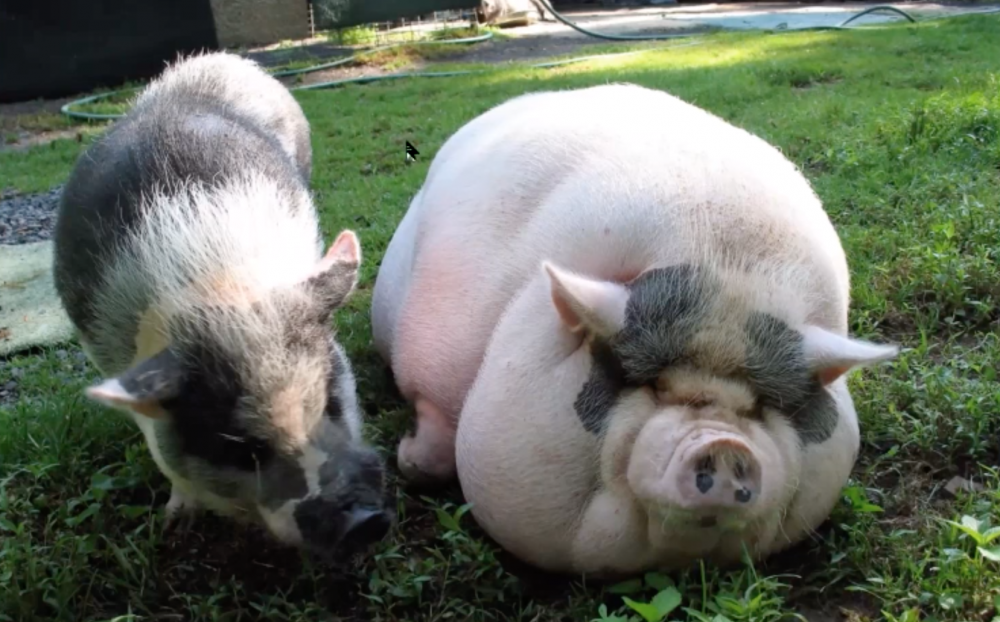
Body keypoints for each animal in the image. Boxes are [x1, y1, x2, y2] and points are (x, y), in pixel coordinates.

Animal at [53, 51, 391, 559]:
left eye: (331, 402)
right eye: (242, 449)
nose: (363, 523)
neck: (215, 287)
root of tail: (211, 62)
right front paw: (174, 526)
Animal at [370, 83, 899, 576]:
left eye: (761, 406)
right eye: (650, 384)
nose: (725, 444)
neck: (722, 266)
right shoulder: (434, 361)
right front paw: (407, 460)